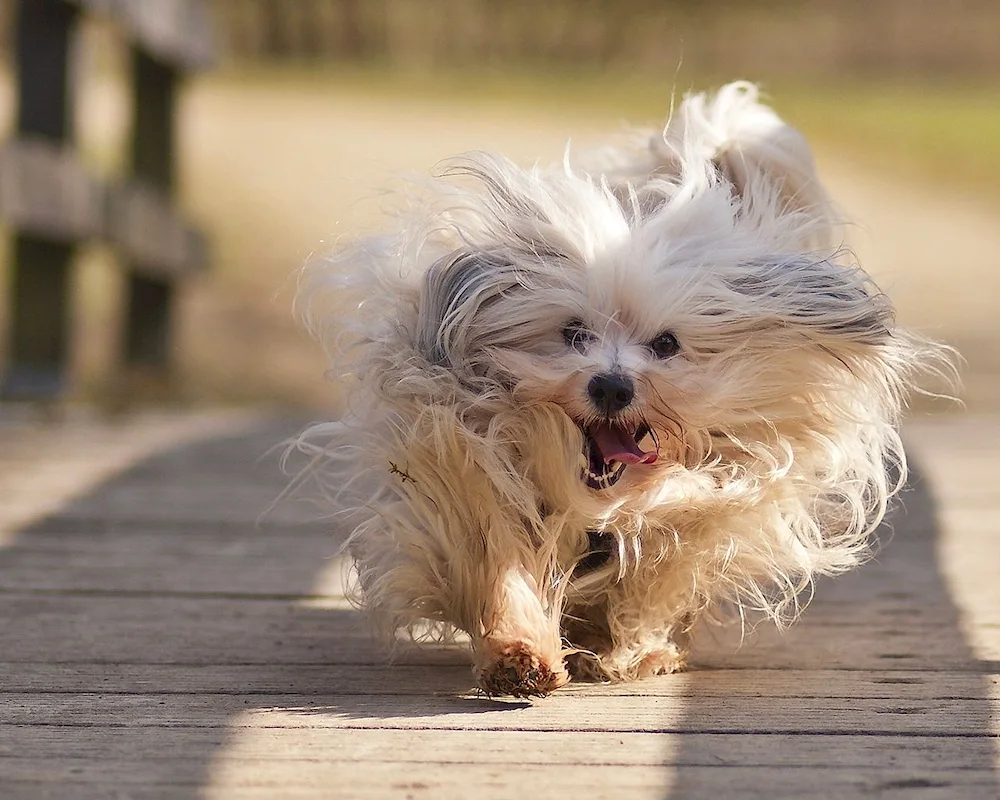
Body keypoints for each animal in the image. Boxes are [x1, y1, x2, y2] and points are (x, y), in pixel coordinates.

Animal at [292, 79, 952, 692]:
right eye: (573, 333)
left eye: (666, 344)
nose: (611, 387)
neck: (595, 497)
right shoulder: (470, 470)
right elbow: (500, 563)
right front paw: (518, 653)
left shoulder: (704, 509)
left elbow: (657, 577)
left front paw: (635, 651)